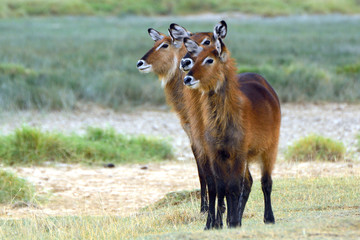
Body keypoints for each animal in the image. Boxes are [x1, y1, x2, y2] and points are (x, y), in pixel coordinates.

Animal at [136, 22, 226, 216]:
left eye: (165, 44)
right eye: (155, 43)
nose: (140, 63)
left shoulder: (195, 135)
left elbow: (203, 170)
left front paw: (205, 208)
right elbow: (203, 171)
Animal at [183, 34, 282, 228]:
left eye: (209, 60)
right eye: (195, 59)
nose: (187, 79)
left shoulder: (238, 153)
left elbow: (234, 187)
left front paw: (232, 221)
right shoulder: (216, 153)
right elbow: (221, 187)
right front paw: (216, 224)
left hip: (269, 148)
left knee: (266, 182)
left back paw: (269, 218)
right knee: (248, 183)